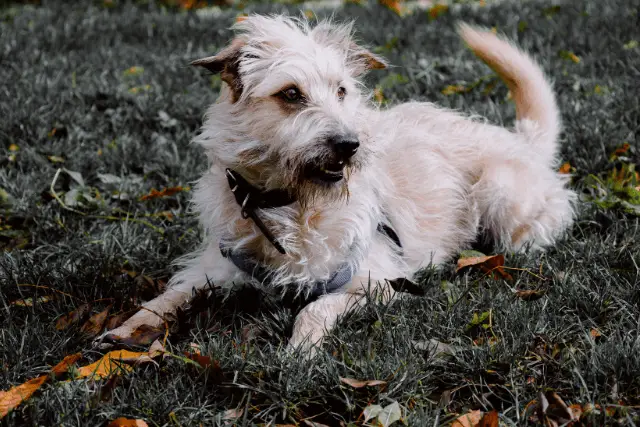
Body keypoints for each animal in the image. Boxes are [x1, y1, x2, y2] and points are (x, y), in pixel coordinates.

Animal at [97, 14, 576, 352]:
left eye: (342, 91)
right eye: (291, 94)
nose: (349, 144)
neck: (288, 204)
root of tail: (522, 140)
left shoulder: (377, 279)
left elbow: (316, 306)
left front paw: (301, 348)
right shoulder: (216, 266)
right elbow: (170, 296)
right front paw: (128, 329)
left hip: (499, 193)